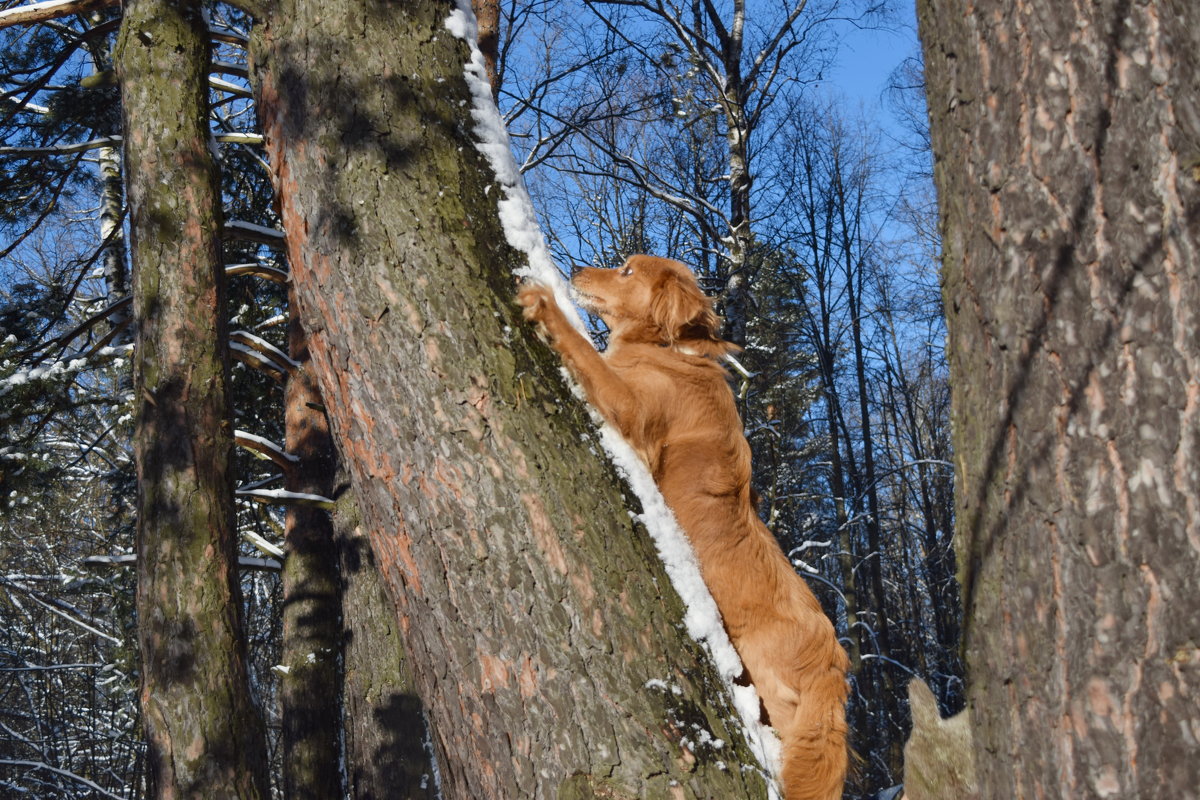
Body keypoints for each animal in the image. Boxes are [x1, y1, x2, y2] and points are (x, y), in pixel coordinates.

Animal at [520, 255, 849, 800]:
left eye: (628, 271)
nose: (579, 268)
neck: (668, 350)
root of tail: (834, 662)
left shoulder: (630, 408)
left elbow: (588, 356)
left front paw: (545, 305)